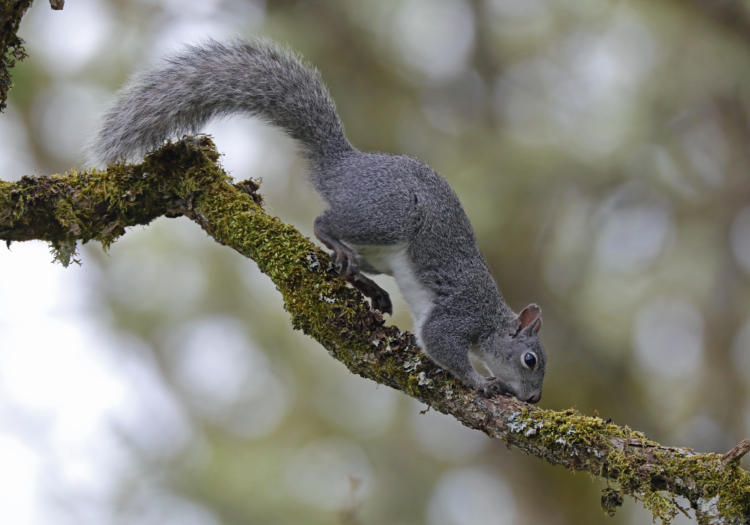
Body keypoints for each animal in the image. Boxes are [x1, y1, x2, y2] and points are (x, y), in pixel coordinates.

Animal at [92, 40, 548, 402]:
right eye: (530, 360)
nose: (534, 400)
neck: (491, 317)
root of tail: (343, 166)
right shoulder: (460, 313)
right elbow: (441, 344)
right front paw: (482, 382)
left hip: (379, 251)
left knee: (351, 259)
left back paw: (370, 288)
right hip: (389, 214)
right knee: (322, 223)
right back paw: (338, 247)